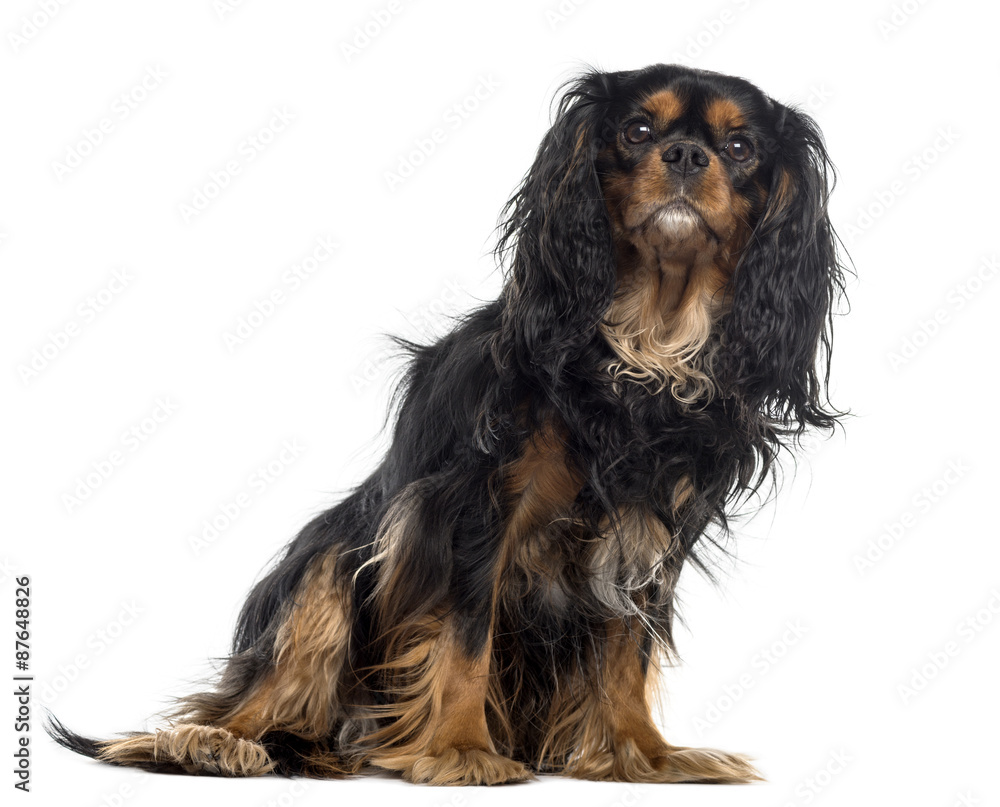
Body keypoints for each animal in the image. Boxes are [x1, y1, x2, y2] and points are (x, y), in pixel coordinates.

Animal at [47, 66, 844, 784]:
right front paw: (462, 748)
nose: (684, 156)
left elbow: (627, 647)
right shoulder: (476, 503)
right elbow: (466, 634)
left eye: (740, 148)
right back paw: (218, 743)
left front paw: (639, 753)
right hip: (330, 557)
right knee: (253, 689)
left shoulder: (649, 527)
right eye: (638, 131)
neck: (638, 345)